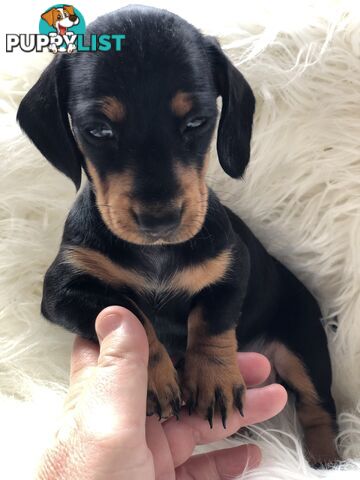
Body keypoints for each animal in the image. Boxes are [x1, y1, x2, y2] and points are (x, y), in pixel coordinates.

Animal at [16, 5, 338, 466]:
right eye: (98, 130)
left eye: (197, 122)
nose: (160, 220)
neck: (156, 252)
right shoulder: (63, 291)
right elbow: (128, 309)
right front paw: (153, 377)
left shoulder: (233, 265)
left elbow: (213, 316)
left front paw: (212, 378)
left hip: (303, 344)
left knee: (317, 406)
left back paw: (327, 460)